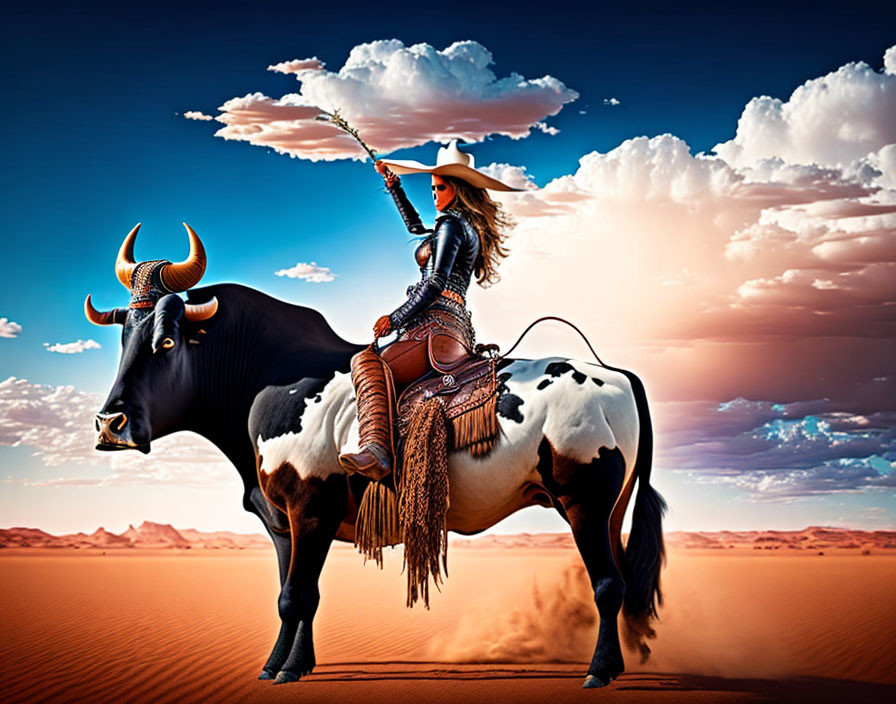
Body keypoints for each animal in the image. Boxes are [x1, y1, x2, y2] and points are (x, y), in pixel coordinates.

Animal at [89, 224, 664, 688]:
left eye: (167, 341)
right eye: (124, 338)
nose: (109, 424)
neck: (275, 383)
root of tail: (616, 374)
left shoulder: (311, 511)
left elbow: (297, 596)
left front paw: (286, 671)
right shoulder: (282, 525)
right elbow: (296, 595)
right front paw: (285, 664)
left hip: (584, 505)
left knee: (608, 584)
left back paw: (597, 672)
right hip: (610, 512)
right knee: (618, 578)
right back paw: (613, 667)